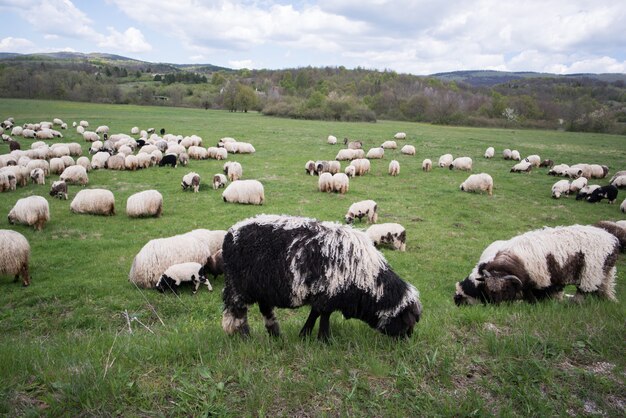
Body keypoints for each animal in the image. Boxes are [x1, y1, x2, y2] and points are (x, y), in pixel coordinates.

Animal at [219, 216, 420, 340]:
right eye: (407, 321)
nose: (407, 340)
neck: (368, 281)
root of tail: (230, 234)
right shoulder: (329, 293)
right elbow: (323, 316)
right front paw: (324, 339)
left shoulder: (323, 294)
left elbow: (315, 313)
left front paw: (305, 334)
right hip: (239, 286)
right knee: (238, 311)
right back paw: (244, 335)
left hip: (263, 288)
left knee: (265, 310)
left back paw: (275, 335)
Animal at [454, 224, 620, 306]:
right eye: (488, 289)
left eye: (505, 289)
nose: (455, 300)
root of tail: (611, 239)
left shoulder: (540, 280)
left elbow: (533, 296)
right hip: (605, 272)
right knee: (606, 287)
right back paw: (610, 300)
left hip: (590, 273)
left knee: (583, 291)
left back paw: (575, 303)